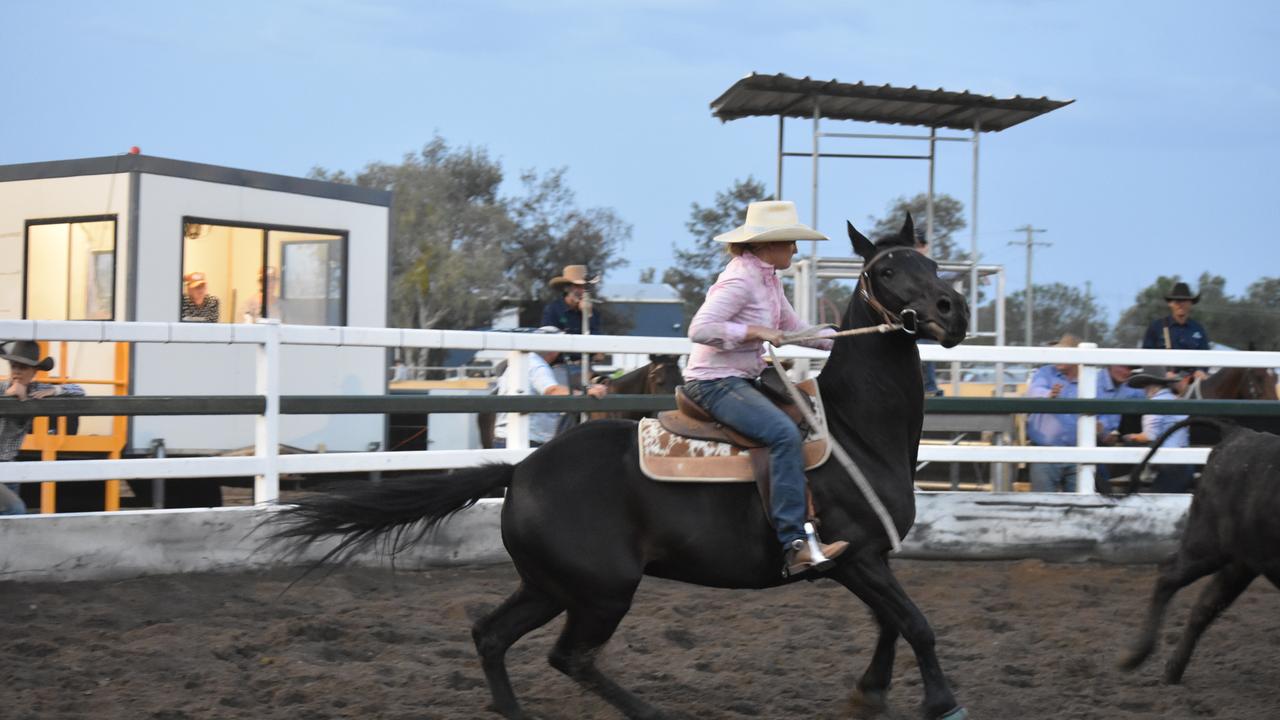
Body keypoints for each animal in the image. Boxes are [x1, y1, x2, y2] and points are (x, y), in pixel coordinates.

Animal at [272, 215, 967, 717]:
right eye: (886, 268)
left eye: (933, 262)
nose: (952, 310)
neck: (853, 427)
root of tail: (521, 471)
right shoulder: (856, 557)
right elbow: (917, 625)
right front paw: (941, 702)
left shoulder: (865, 559)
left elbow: (892, 625)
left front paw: (870, 693)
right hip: (602, 591)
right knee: (571, 658)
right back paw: (650, 714)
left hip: (551, 586)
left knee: (492, 635)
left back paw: (515, 713)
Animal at [1116, 415, 1280, 676]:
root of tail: (1237, 432)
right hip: (1208, 546)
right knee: (1169, 576)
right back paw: (1136, 656)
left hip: (1241, 560)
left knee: (1206, 605)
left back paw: (1173, 669)